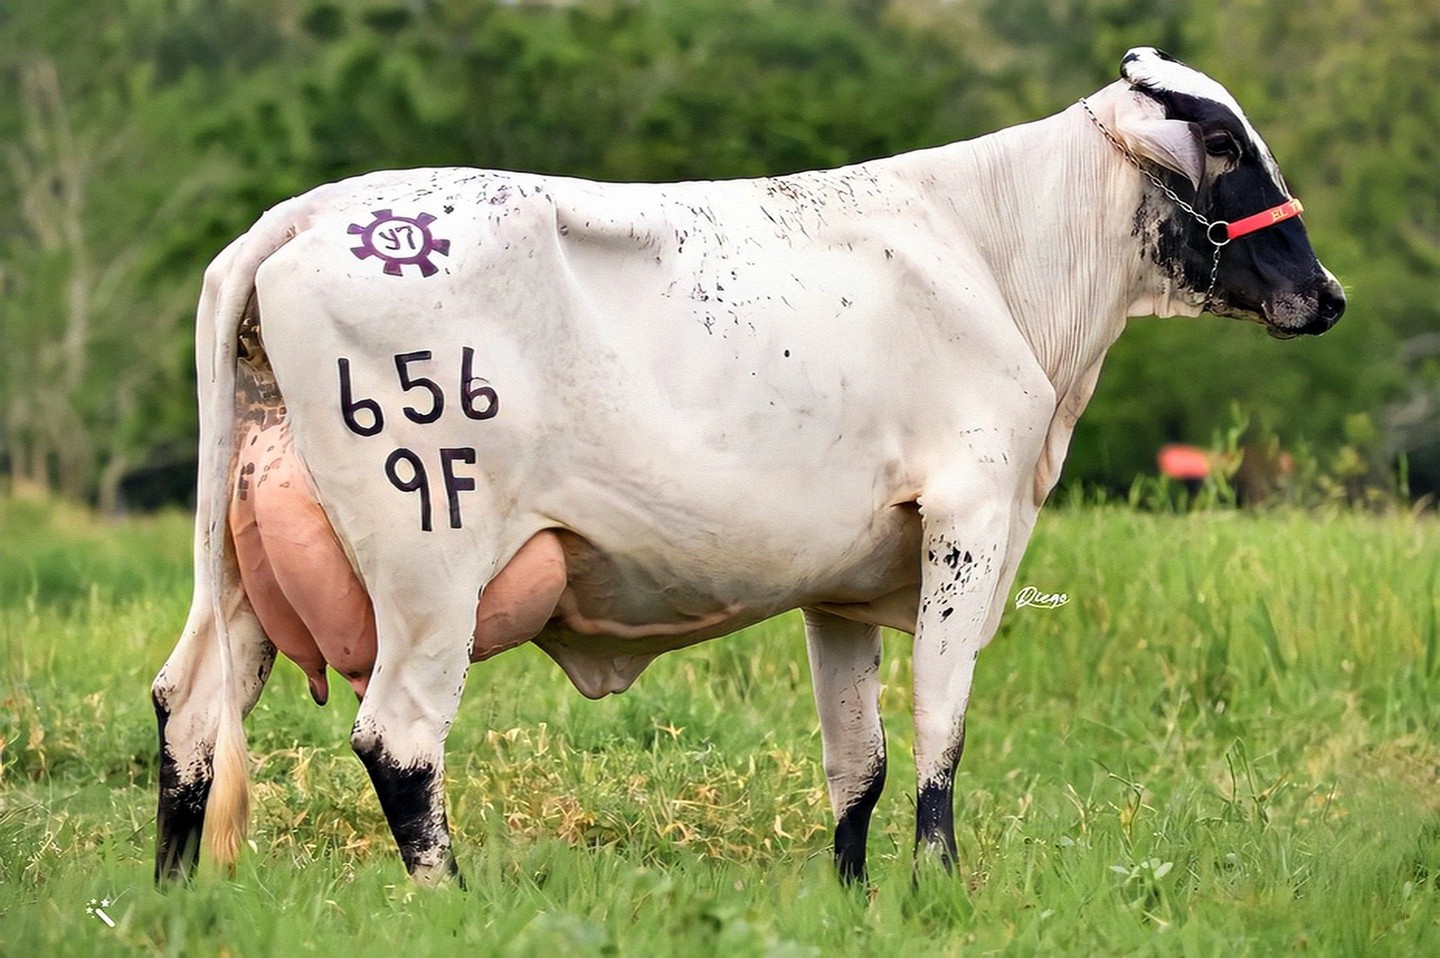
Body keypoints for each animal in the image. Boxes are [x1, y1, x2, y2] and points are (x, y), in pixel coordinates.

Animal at [151, 48, 1342, 887]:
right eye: (1225, 145)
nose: (1327, 295)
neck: (992, 255)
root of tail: (311, 211)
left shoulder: (847, 582)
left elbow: (857, 761)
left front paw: (858, 899)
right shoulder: (970, 517)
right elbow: (940, 723)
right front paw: (941, 885)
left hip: (243, 577)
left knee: (190, 707)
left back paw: (176, 899)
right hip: (429, 562)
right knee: (398, 740)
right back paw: (450, 900)